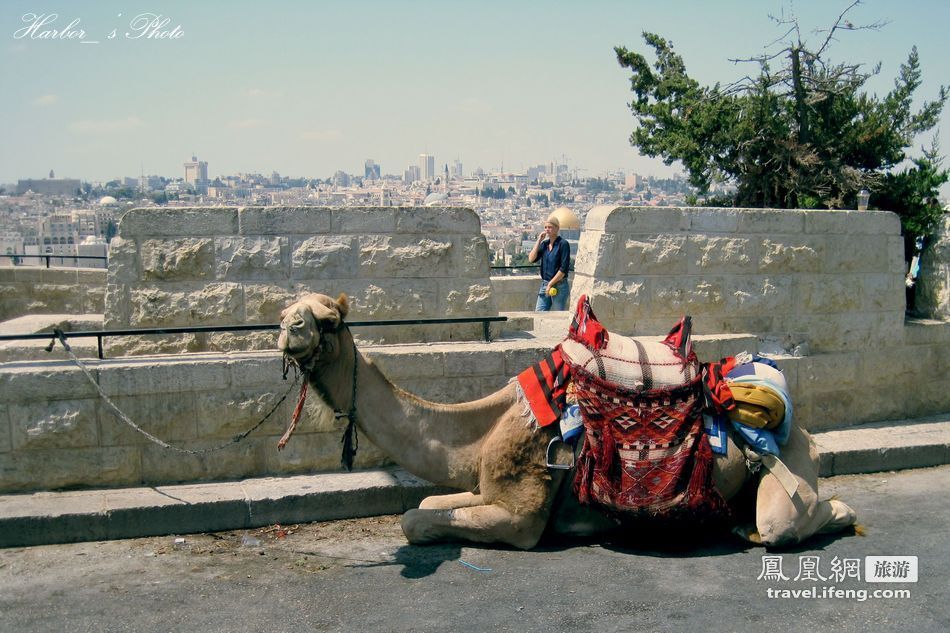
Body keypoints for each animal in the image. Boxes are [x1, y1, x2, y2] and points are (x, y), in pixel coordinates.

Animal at [276, 292, 856, 548]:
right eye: (287, 313)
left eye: (328, 319)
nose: (288, 330)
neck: (482, 431)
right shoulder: (484, 487)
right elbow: (423, 506)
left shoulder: (520, 518)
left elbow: (416, 521)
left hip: (790, 467)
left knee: (785, 525)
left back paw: (836, 515)